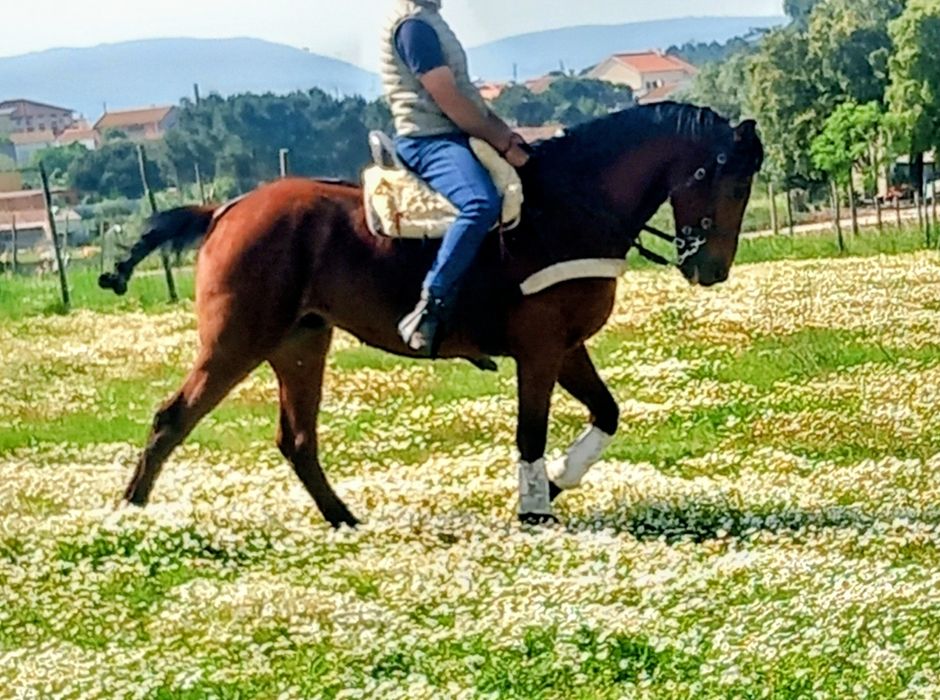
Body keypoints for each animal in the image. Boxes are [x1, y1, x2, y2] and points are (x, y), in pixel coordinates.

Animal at [99, 102, 764, 527]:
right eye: (733, 185)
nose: (712, 268)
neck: (571, 207)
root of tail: (224, 210)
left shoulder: (568, 348)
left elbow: (607, 414)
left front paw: (552, 484)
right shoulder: (541, 351)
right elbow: (531, 432)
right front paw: (534, 506)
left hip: (300, 345)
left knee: (297, 439)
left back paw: (344, 520)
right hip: (237, 342)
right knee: (172, 419)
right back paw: (129, 514)